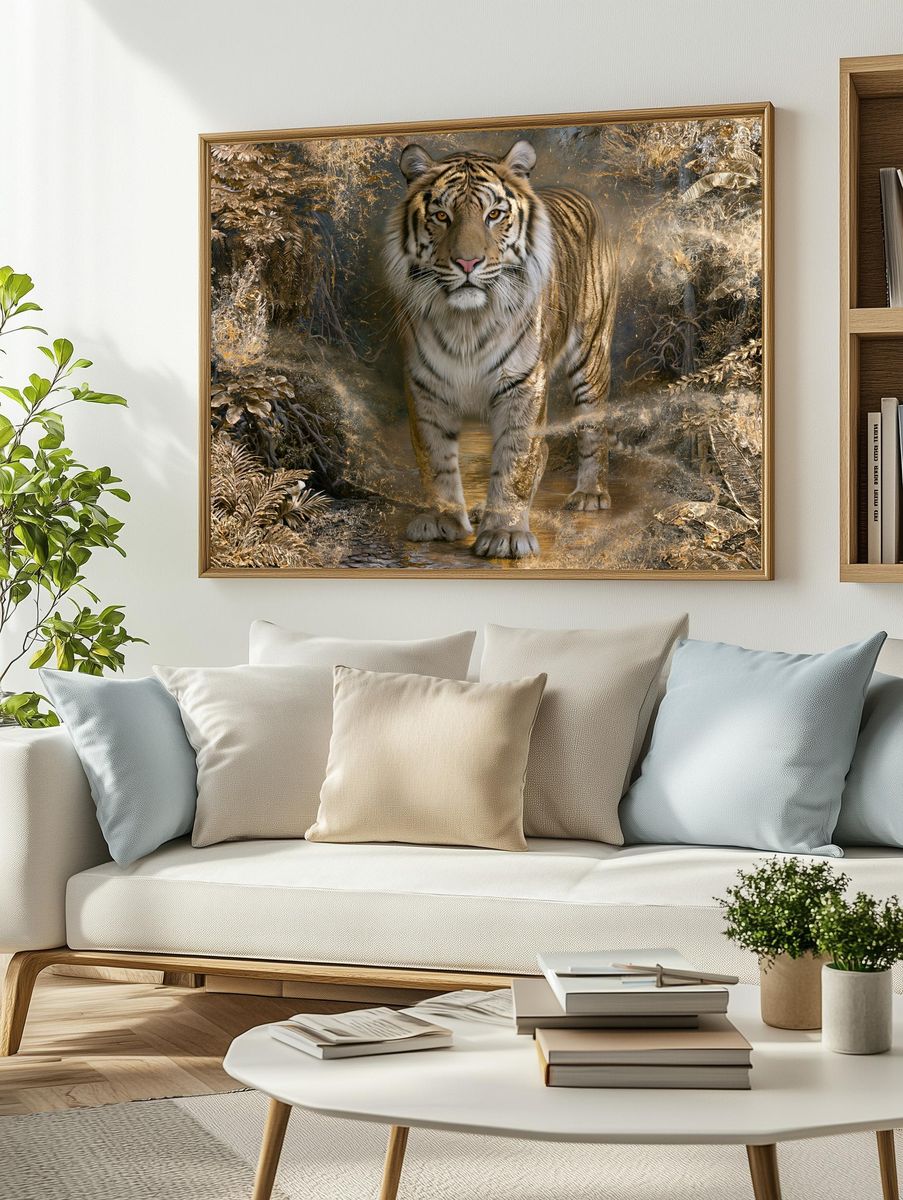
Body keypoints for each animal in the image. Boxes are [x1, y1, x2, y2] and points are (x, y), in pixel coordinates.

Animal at [384, 138, 618, 560]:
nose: (467, 262)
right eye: (441, 215)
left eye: (493, 215)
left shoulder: (523, 384)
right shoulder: (427, 386)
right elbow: (435, 458)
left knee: (592, 427)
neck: (466, 323)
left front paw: (506, 534)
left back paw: (590, 494)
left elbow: (517, 459)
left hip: (591, 354)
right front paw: (444, 520)